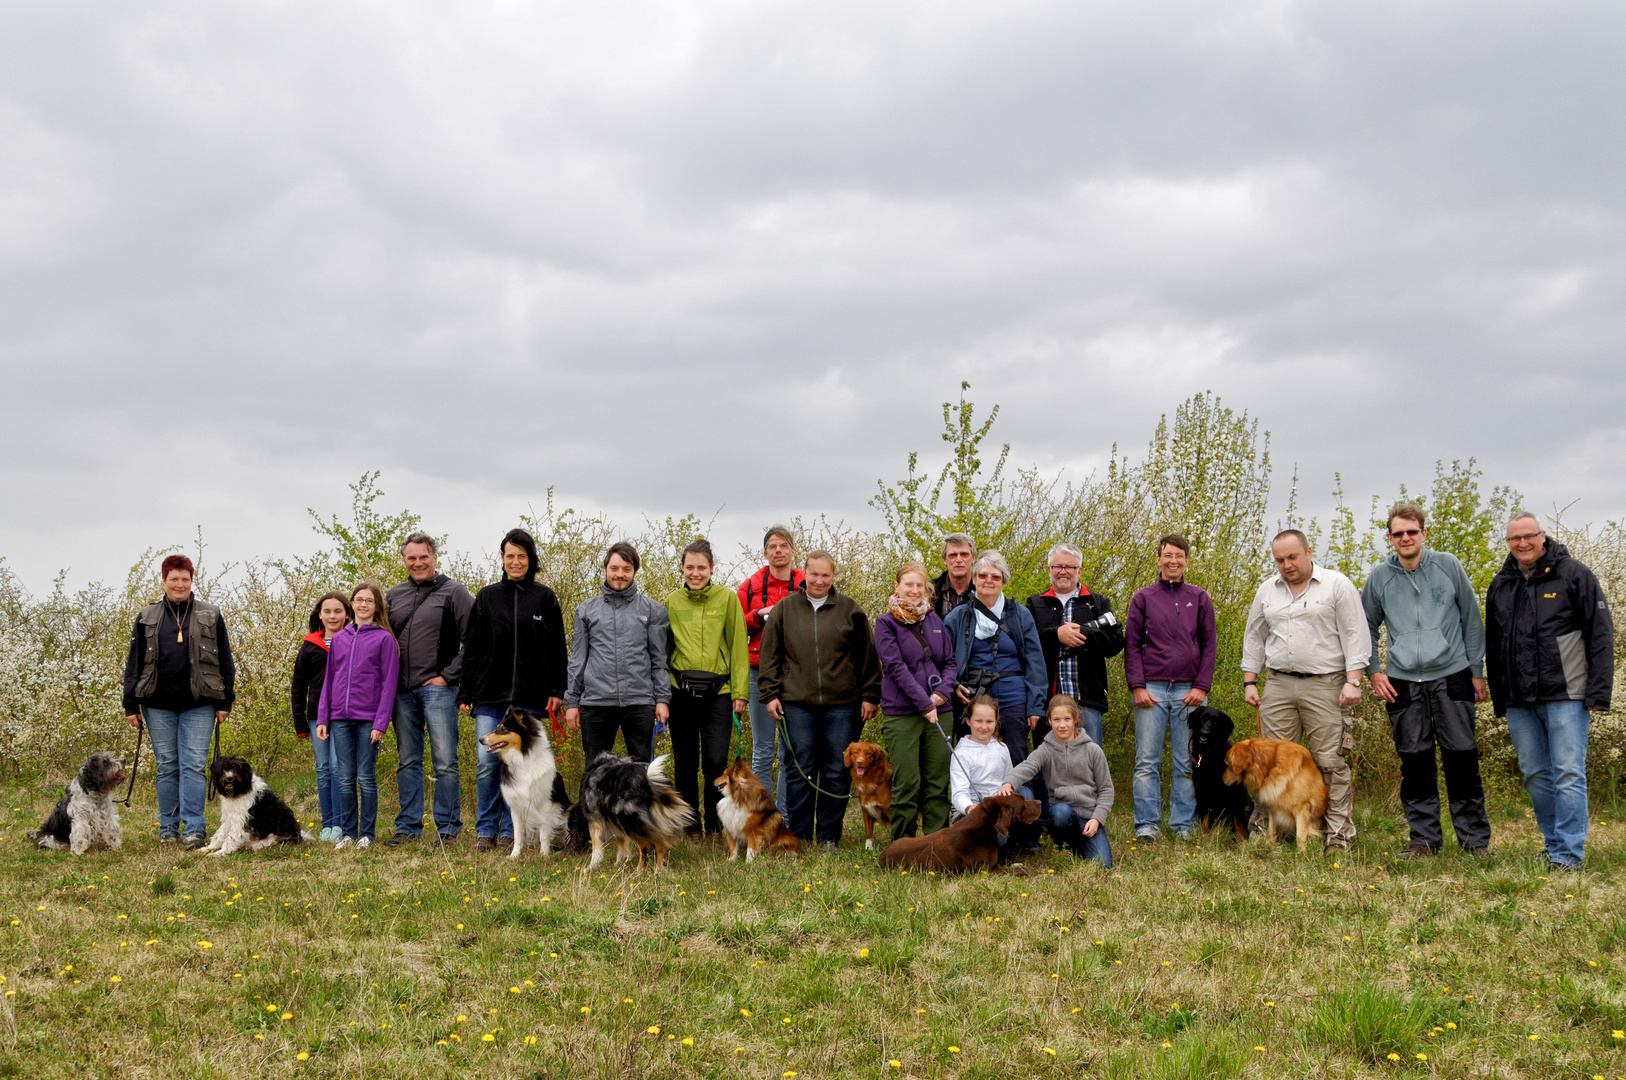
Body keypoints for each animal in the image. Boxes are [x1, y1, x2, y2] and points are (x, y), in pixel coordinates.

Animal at [478, 709, 575, 858]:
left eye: (503, 729)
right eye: (497, 727)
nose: (481, 739)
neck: (523, 759)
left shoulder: (545, 805)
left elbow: (544, 833)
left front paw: (544, 855)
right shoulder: (517, 807)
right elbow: (518, 835)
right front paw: (514, 855)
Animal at [1190, 705, 1248, 839]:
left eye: (1215, 722)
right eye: (1202, 718)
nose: (1204, 734)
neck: (1209, 756)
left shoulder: (1237, 794)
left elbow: (1239, 825)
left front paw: (1242, 842)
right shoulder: (1202, 793)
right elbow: (1205, 821)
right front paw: (1205, 838)